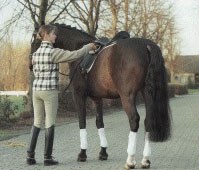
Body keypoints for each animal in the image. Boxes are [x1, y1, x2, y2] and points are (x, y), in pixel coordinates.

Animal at [30, 23, 171, 169]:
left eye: (35, 40)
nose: (31, 64)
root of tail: (146, 45)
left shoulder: (78, 95)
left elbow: (82, 121)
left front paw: (82, 154)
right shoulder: (97, 98)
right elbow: (99, 122)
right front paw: (103, 152)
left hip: (127, 96)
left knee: (134, 120)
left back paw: (130, 161)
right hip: (147, 93)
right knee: (147, 121)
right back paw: (145, 160)